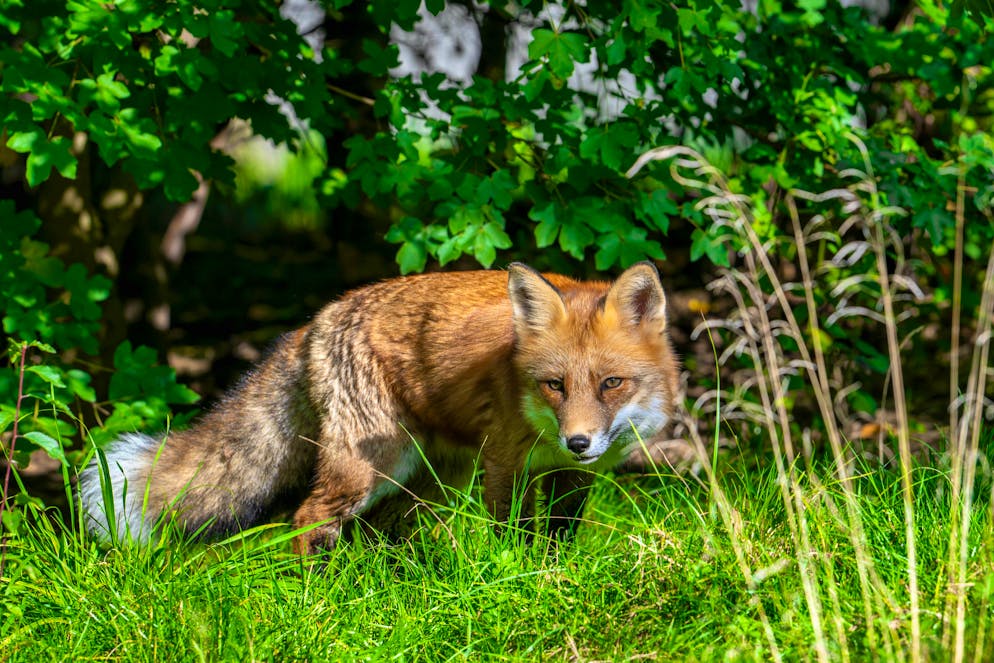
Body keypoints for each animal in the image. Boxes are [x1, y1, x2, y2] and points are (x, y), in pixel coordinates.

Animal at [78, 261, 680, 554]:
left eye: (611, 383)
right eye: (554, 385)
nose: (577, 441)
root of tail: (316, 319)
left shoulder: (573, 477)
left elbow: (558, 536)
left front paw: (553, 575)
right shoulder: (504, 463)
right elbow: (511, 534)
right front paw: (517, 574)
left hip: (429, 478)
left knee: (381, 531)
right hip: (373, 466)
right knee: (307, 517)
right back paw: (319, 595)